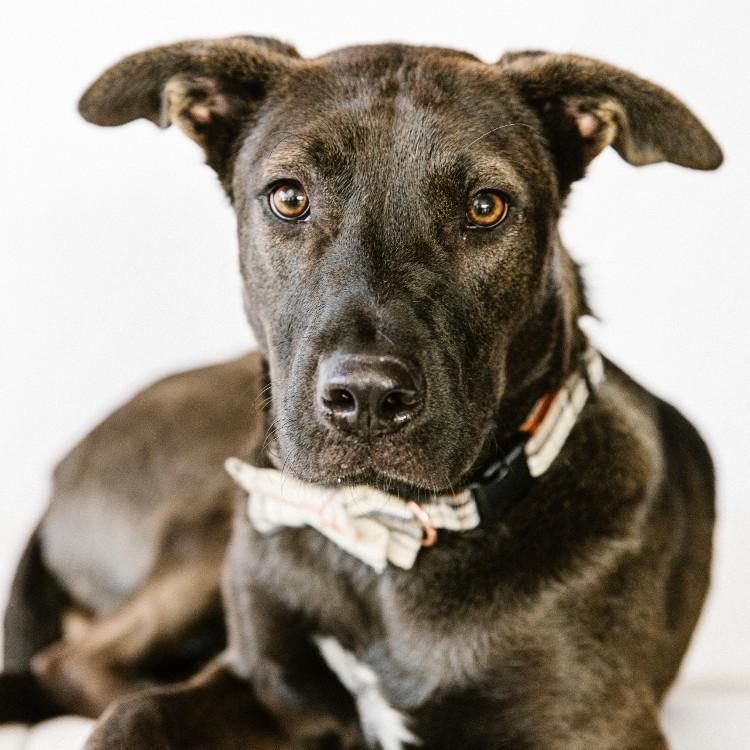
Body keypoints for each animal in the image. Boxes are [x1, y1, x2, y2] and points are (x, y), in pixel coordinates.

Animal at [2, 36, 724, 750]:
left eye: (485, 207)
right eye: (289, 198)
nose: (369, 398)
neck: (384, 547)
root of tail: (63, 467)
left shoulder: (593, 725)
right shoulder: (270, 690)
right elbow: (136, 714)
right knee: (74, 661)